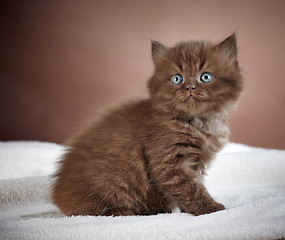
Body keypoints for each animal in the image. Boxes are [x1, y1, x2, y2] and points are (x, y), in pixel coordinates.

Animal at [51, 34, 242, 217]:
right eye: (177, 79)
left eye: (206, 77)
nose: (190, 87)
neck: (198, 123)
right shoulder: (168, 162)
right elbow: (190, 188)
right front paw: (210, 208)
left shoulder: (197, 163)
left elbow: (192, 186)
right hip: (112, 182)